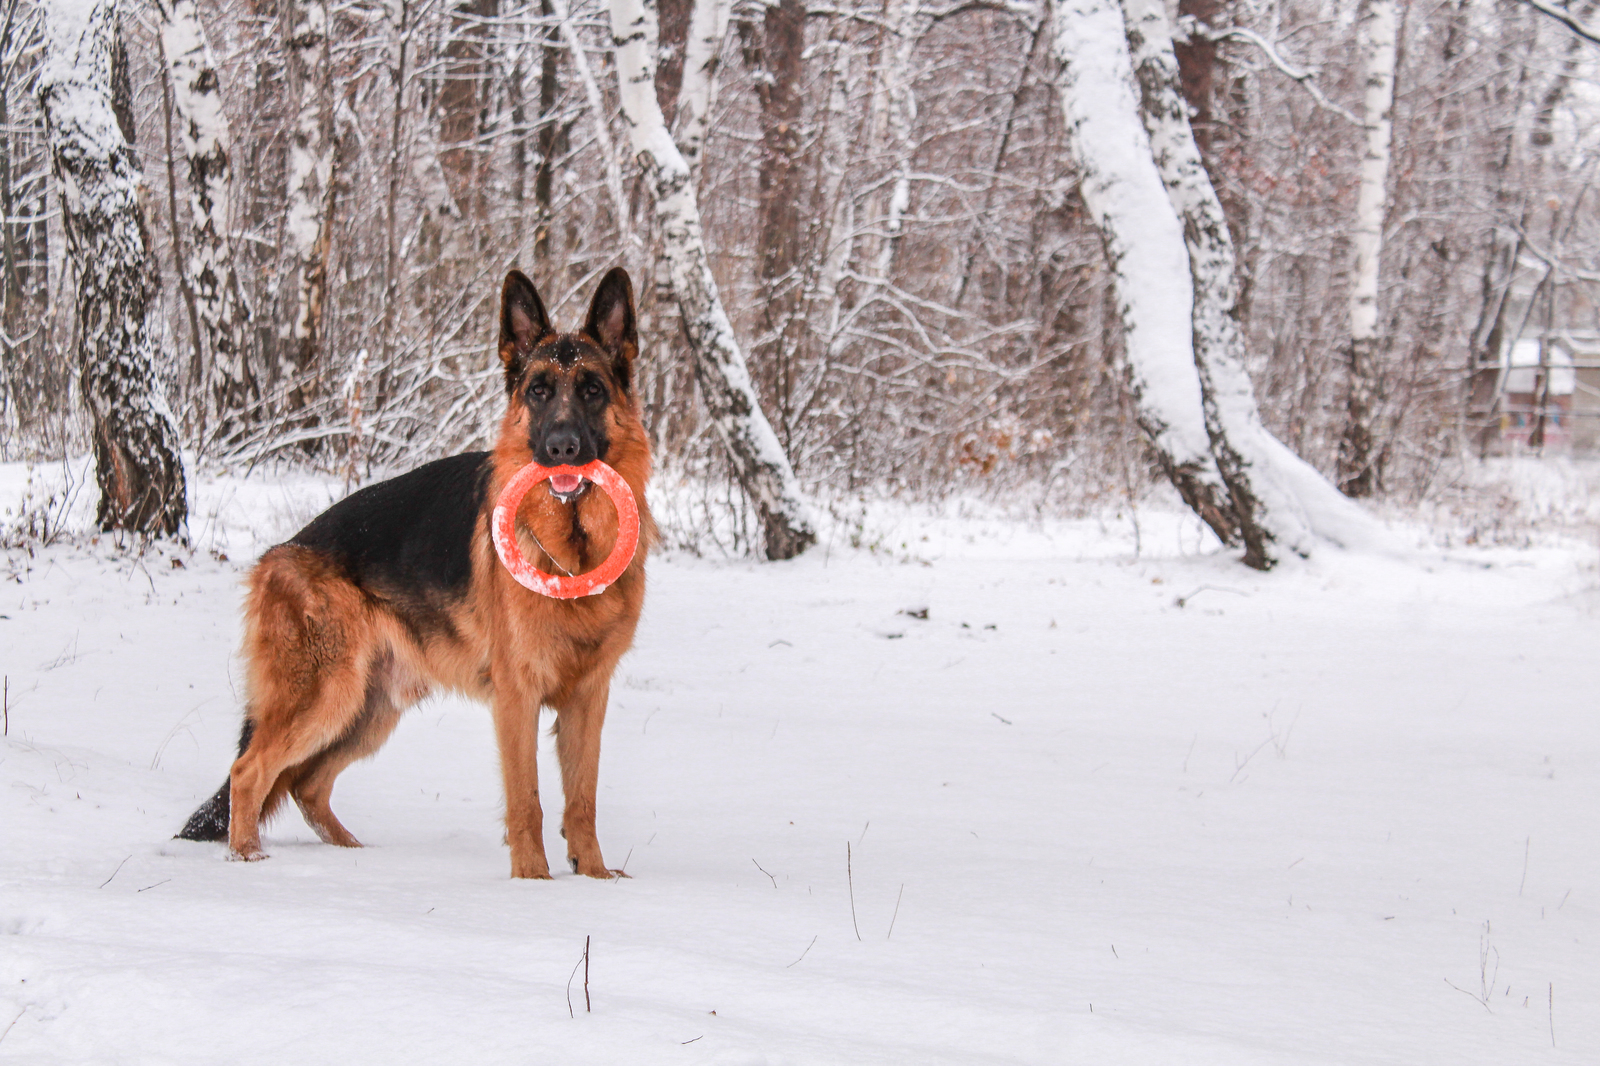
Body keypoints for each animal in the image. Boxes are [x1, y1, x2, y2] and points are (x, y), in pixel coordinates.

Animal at [175, 265, 649, 870]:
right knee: (249, 771)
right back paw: (249, 860)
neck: (571, 548)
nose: (562, 448)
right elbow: (528, 802)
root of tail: (279, 552)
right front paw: (532, 880)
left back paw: (356, 859)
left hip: (370, 709)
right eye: (539, 391)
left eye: (591, 390)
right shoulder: (517, 700)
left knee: (306, 783)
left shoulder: (589, 698)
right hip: (327, 696)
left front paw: (593, 877)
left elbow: (582, 800)